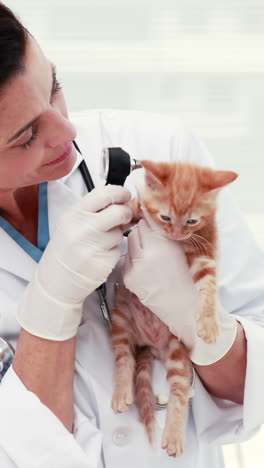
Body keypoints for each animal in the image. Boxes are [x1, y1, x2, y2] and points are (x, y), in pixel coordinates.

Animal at [110, 160, 238, 458]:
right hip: (120, 318)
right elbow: (131, 209)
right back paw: (121, 391)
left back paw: (173, 435)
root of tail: (148, 342)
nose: (176, 234)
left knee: (179, 390)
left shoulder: (205, 247)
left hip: (177, 349)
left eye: (191, 221)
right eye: (166, 218)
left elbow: (208, 283)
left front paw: (209, 323)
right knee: (123, 358)